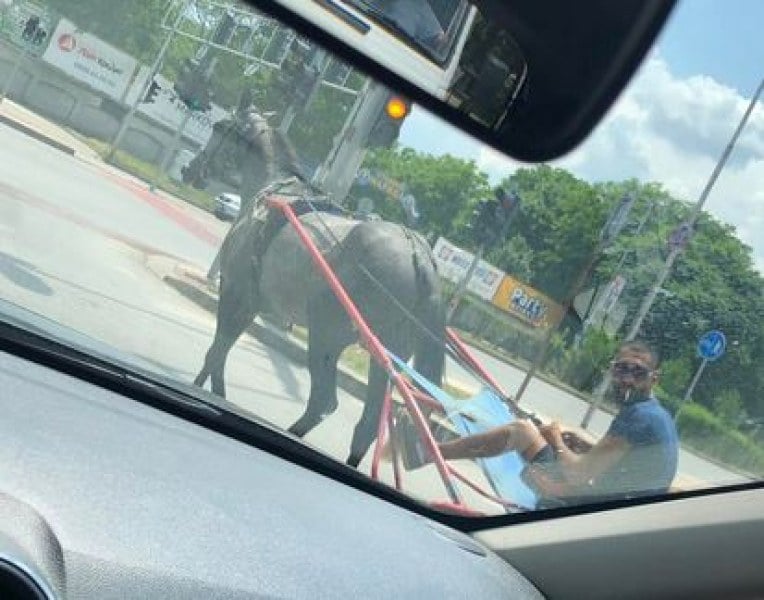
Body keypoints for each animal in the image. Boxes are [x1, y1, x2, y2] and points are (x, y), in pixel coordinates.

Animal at [184, 101, 444, 466]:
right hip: (386, 355)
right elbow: (221, 353)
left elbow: (216, 352)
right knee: (366, 423)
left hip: (326, 333)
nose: (190, 169)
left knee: (324, 401)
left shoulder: (234, 291)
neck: (273, 190)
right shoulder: (252, 303)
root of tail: (416, 252)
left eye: (219, 127)